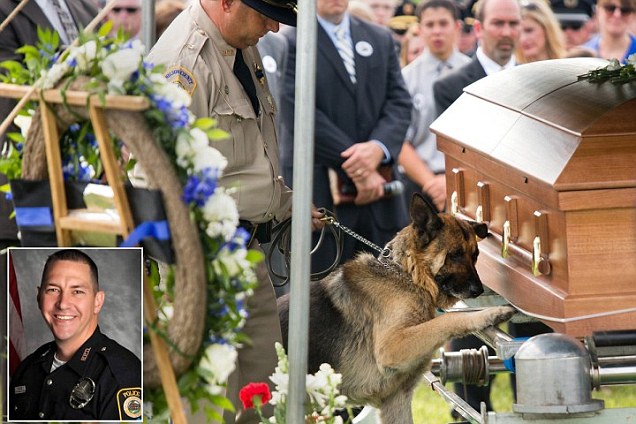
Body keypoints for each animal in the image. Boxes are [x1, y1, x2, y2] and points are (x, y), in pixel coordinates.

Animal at [278, 194, 516, 422]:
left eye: (475, 255)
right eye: (455, 254)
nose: (478, 290)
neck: (407, 275)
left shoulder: (396, 400)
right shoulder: (393, 346)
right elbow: (446, 320)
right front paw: (491, 313)